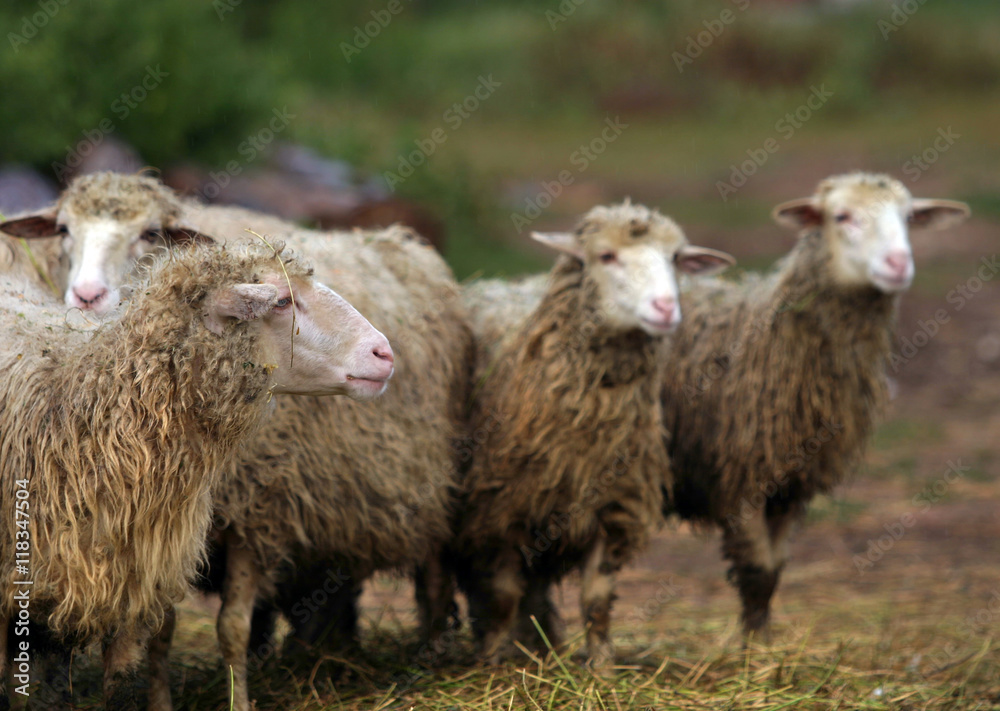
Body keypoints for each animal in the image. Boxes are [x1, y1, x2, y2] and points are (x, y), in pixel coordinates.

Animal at [451, 202, 734, 664]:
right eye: (606, 256)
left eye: (675, 258)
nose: (665, 308)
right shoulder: (501, 511)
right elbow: (503, 596)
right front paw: (490, 663)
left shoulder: (611, 508)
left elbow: (596, 601)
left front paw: (602, 667)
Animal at [660, 173, 971, 638]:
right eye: (841, 216)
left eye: (909, 218)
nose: (899, 264)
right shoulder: (740, 477)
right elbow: (756, 569)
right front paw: (753, 651)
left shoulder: (792, 483)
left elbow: (772, 572)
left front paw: (762, 643)